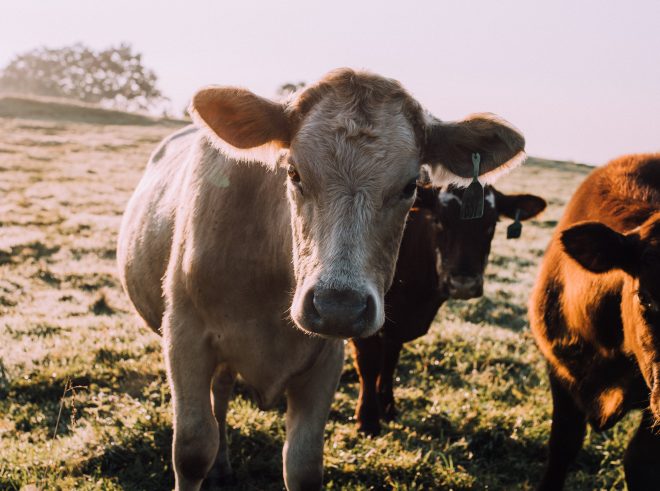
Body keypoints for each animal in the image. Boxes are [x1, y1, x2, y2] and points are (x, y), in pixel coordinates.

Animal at [350, 184, 548, 434]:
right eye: (438, 220)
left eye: (491, 224)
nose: (464, 282)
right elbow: (369, 364)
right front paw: (367, 419)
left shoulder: (398, 325)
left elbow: (390, 361)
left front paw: (387, 406)